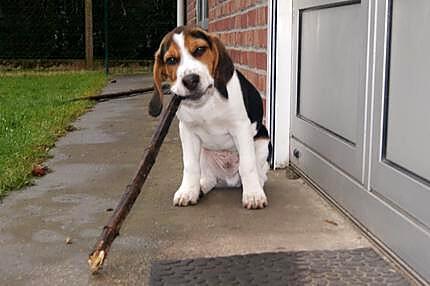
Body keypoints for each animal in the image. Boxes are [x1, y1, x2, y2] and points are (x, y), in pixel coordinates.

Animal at [149, 25, 270, 209]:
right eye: (171, 60)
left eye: (200, 50)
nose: (190, 80)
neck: (205, 102)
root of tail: (229, 180)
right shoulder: (187, 131)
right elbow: (190, 166)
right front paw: (187, 191)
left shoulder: (241, 128)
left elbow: (247, 165)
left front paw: (253, 195)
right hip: (203, 154)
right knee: (209, 178)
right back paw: (200, 188)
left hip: (262, 142)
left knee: (259, 173)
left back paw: (255, 187)